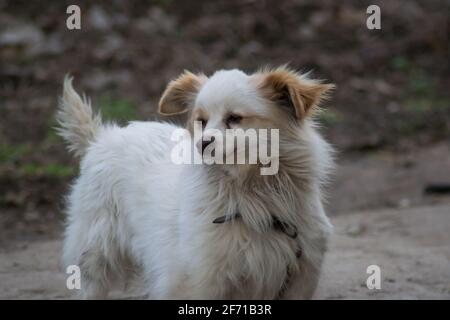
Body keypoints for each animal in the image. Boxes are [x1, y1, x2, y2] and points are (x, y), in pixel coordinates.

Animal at [57, 66, 334, 298]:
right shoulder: (201, 280)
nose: (202, 143)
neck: (252, 196)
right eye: (201, 121)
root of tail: (101, 138)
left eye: (235, 118)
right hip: (96, 258)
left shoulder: (302, 275)